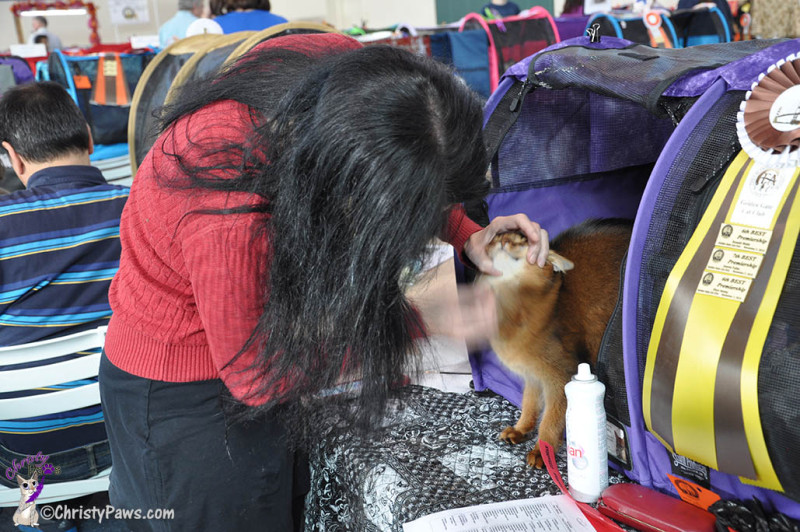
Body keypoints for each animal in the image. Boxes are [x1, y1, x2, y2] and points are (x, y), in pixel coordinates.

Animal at [478, 218, 636, 468]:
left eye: (522, 241)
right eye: (496, 238)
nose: (503, 241)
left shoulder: (560, 375)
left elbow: (550, 419)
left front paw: (542, 450)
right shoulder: (532, 375)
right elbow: (529, 403)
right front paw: (521, 429)